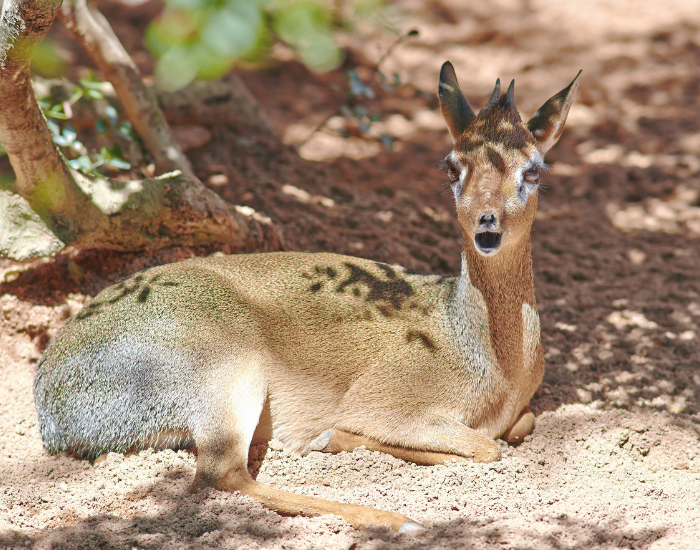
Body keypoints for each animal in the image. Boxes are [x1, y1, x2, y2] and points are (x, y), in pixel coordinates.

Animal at [34, 61, 580, 532]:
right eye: (451, 166)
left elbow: (516, 428)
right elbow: (488, 447)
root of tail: (51, 394)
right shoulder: (386, 405)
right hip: (230, 374)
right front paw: (333, 437)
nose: (488, 225)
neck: (489, 356)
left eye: (534, 170)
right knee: (221, 474)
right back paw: (394, 517)